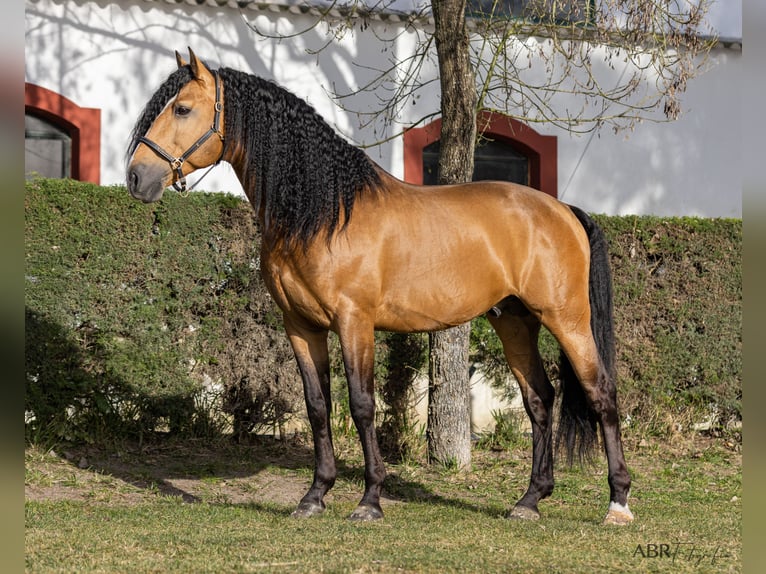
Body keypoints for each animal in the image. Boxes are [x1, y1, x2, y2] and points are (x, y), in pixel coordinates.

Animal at [127, 49, 636, 528]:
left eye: (183, 109)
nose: (136, 177)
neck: (324, 213)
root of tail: (563, 210)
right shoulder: (301, 326)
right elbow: (318, 406)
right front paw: (314, 497)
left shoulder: (354, 321)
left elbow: (362, 404)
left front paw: (370, 500)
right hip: (514, 322)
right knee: (539, 400)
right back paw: (530, 500)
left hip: (567, 320)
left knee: (601, 394)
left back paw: (618, 503)